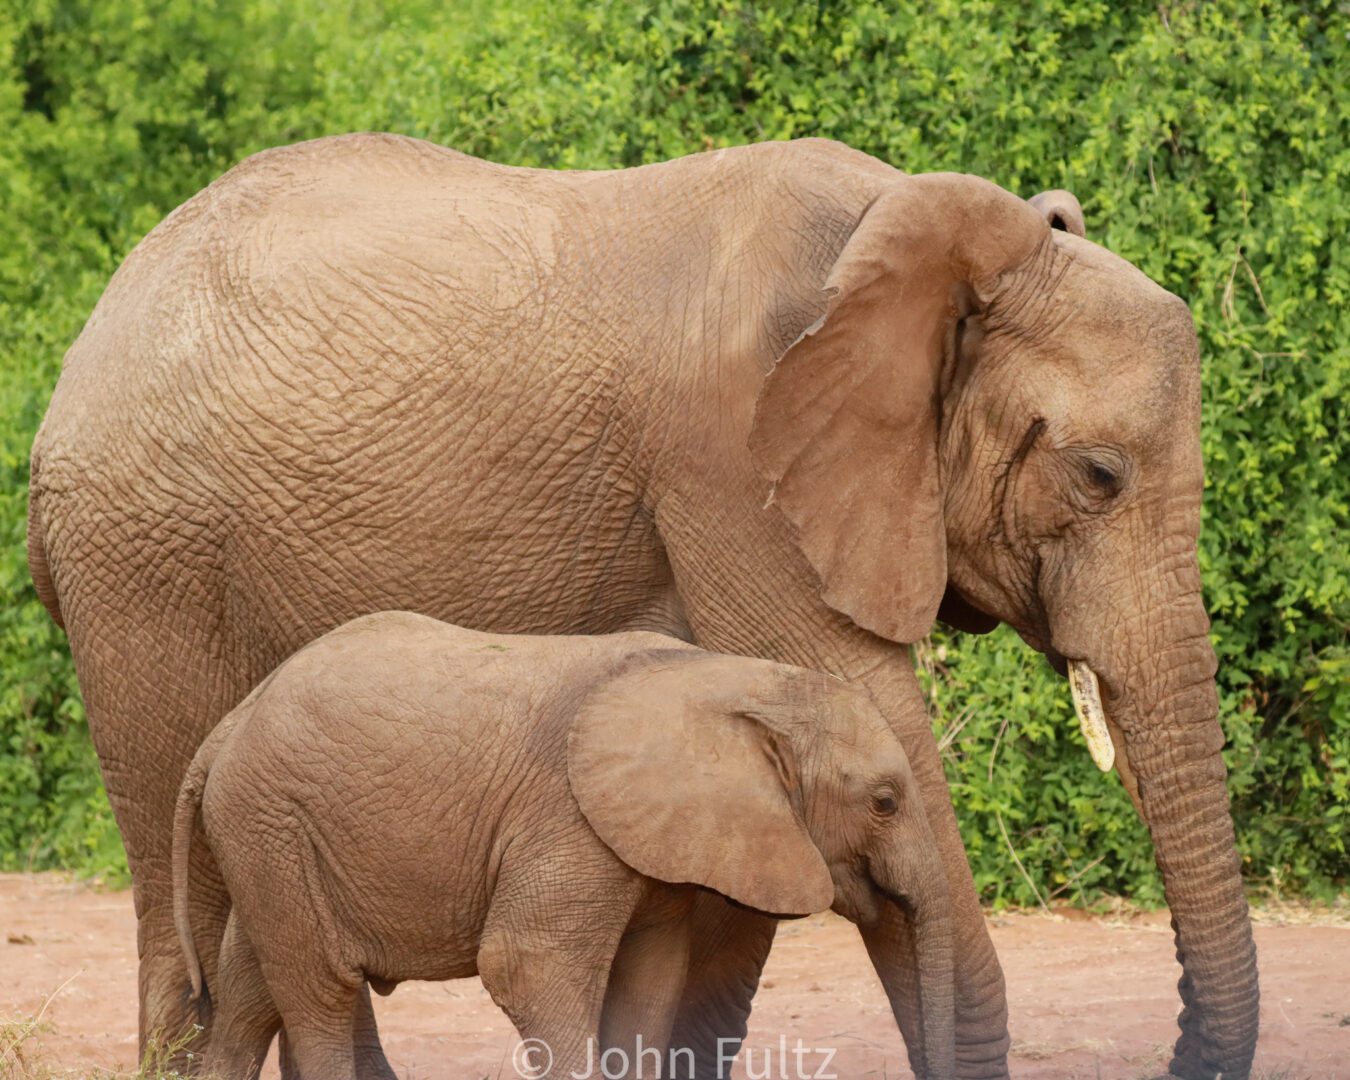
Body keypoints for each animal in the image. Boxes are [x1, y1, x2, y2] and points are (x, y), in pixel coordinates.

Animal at [171, 612, 961, 1080]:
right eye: (885, 802)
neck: (736, 677)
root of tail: (227, 724)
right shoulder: (567, 815)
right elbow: (526, 964)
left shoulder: (655, 840)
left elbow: (651, 978)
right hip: (271, 818)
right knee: (321, 992)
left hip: (267, 836)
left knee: (249, 993)